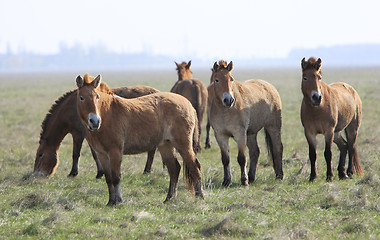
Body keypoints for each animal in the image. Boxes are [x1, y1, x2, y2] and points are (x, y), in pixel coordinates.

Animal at [31, 84, 159, 178]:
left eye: (40, 155)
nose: (36, 174)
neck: (70, 110)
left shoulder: (79, 134)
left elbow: (76, 154)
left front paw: (73, 173)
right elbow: (95, 153)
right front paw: (100, 172)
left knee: (151, 151)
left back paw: (146, 171)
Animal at [75, 73, 203, 204]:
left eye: (97, 97)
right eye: (81, 97)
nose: (95, 121)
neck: (107, 114)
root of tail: (189, 104)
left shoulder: (115, 152)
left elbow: (116, 178)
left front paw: (118, 201)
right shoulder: (102, 155)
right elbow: (109, 179)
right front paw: (110, 202)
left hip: (183, 145)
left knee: (194, 167)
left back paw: (200, 196)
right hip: (166, 145)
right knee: (174, 169)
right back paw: (169, 198)